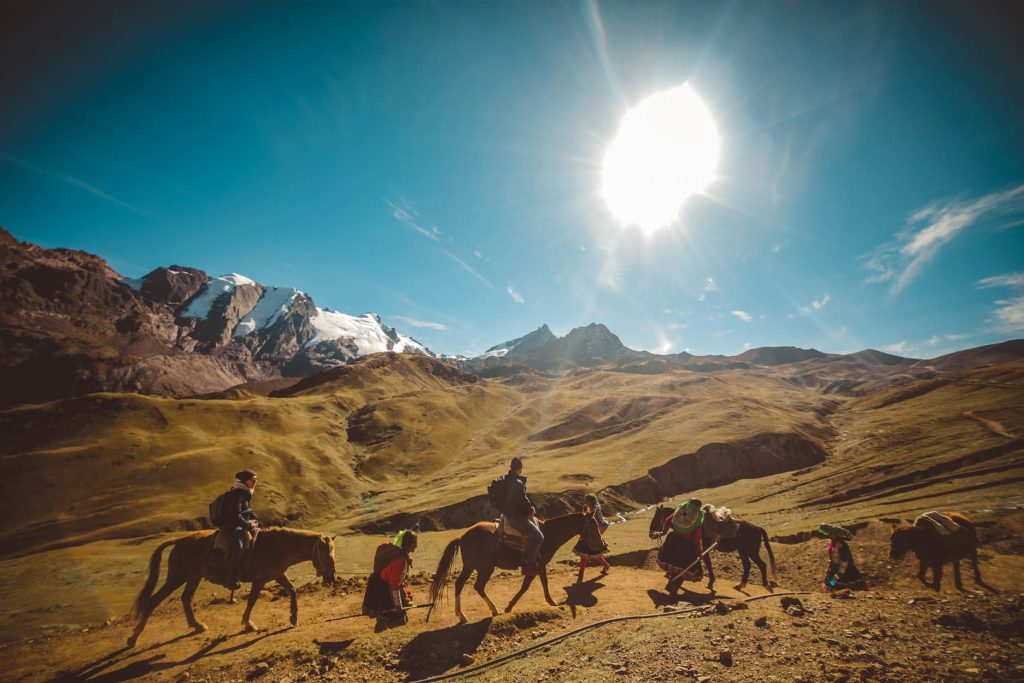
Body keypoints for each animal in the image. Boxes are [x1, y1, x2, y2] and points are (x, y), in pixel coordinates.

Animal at [126, 528, 335, 647]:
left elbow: (292, 590)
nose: (331, 577)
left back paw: (198, 625)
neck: (276, 547)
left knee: (186, 598)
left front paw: (294, 618)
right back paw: (133, 638)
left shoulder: (277, 575)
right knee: (153, 601)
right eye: (326, 555)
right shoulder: (260, 579)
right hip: (177, 577)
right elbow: (252, 600)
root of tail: (179, 541)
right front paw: (248, 624)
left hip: (193, 577)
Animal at [423, 511, 585, 626]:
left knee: (459, 584)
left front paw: (550, 602)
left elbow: (541, 583)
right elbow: (528, 586)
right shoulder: (537, 565)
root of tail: (462, 537)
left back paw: (462, 616)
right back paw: (494, 610)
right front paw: (510, 607)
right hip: (485, 568)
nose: (578, 549)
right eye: (590, 523)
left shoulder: (540, 566)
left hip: (469, 566)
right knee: (478, 586)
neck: (548, 534)